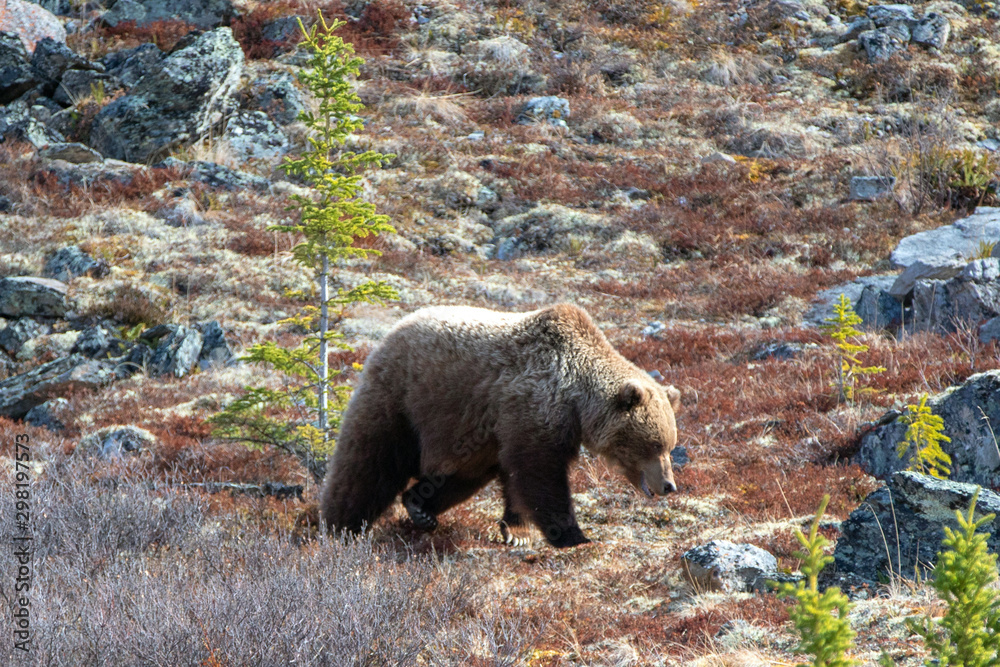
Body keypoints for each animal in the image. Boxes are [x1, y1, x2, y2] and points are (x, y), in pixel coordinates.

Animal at [320, 303, 681, 548]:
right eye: (653, 444)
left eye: (670, 446)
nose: (669, 485)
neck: (576, 399)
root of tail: (392, 331)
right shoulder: (535, 407)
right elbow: (538, 472)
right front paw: (571, 534)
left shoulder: (510, 422)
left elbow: (514, 473)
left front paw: (517, 531)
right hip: (403, 400)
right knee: (369, 463)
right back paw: (339, 525)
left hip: (464, 433)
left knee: (462, 475)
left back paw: (420, 507)